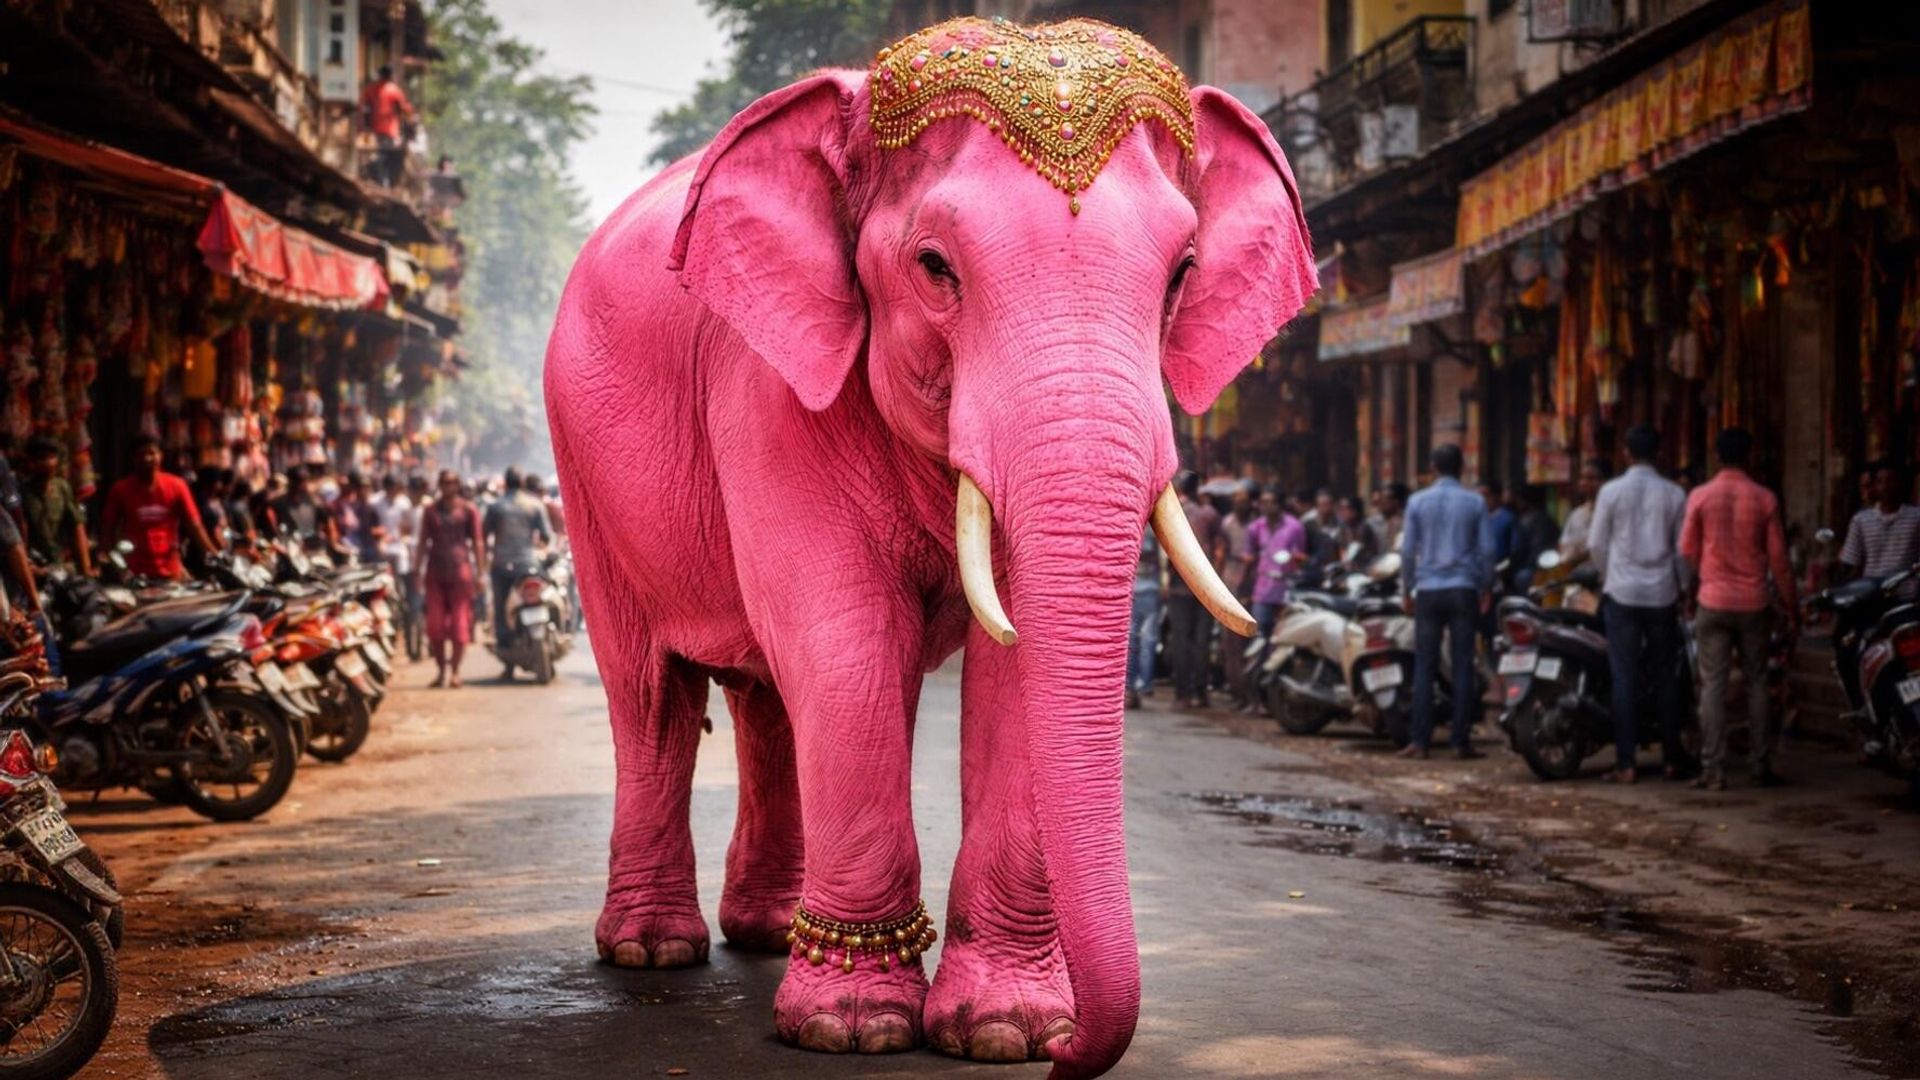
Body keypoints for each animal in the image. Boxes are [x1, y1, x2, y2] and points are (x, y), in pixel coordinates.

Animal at [544, 16, 1315, 1079]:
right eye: (936, 266)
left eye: (1182, 274)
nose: (1074, 1055)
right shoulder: (769, 381)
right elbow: (846, 643)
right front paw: (852, 1028)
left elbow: (1006, 667)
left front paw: (1004, 1032)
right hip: (582, 465)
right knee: (651, 692)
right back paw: (653, 951)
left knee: (766, 699)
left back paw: (770, 931)